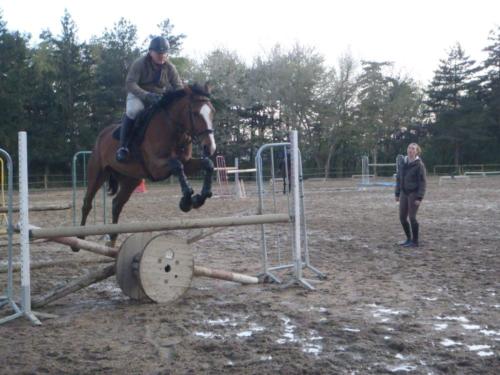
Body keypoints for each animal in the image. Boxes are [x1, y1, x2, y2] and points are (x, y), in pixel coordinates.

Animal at [74, 82, 217, 250]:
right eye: (195, 113)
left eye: (212, 112)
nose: (210, 148)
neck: (172, 128)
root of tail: (102, 134)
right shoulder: (156, 166)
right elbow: (177, 165)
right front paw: (186, 202)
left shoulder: (187, 163)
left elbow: (207, 164)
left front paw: (200, 198)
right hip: (97, 174)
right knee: (87, 203)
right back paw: (79, 239)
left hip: (131, 180)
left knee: (117, 204)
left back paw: (112, 240)